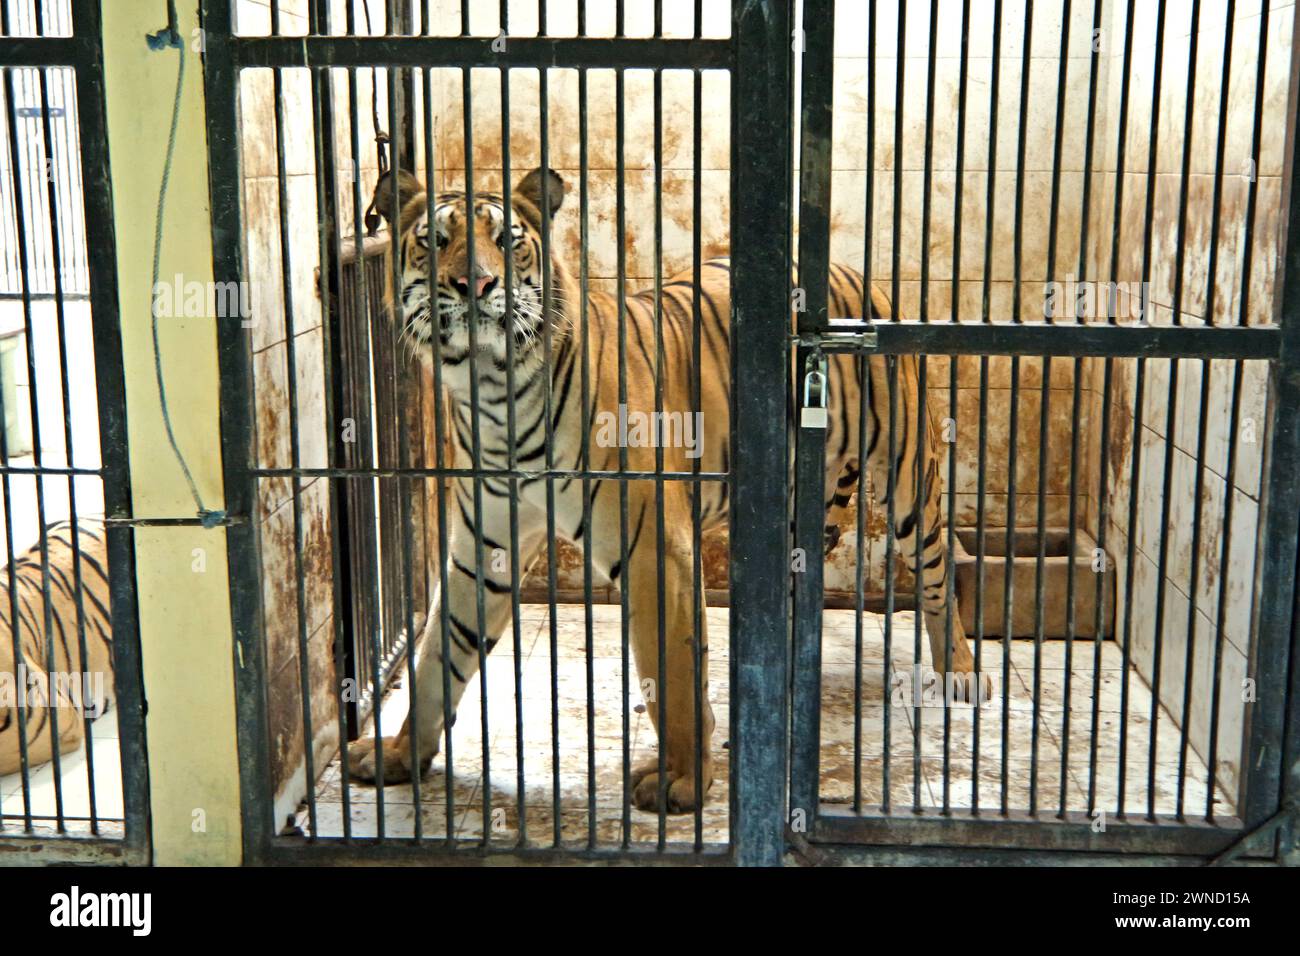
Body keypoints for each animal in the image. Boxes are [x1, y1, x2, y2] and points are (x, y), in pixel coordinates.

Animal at [348, 166, 982, 816]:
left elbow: (672, 675)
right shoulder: (484, 550)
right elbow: (438, 655)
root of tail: (852, 277)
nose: (474, 282)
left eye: (507, 241)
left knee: (937, 576)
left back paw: (959, 671)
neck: (494, 392)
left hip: (908, 479)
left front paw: (681, 780)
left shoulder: (656, 548)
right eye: (434, 240)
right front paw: (397, 753)